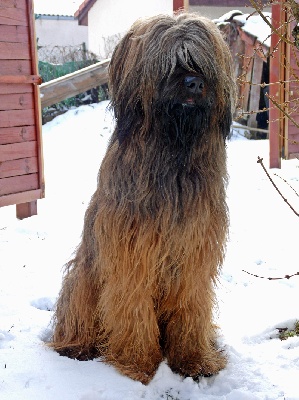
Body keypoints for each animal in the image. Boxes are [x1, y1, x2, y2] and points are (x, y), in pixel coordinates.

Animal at [52, 13, 239, 384]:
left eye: (202, 62)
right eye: (171, 62)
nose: (194, 84)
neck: (172, 151)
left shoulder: (195, 254)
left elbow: (190, 304)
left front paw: (194, 359)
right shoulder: (131, 252)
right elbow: (132, 304)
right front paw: (137, 363)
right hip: (83, 277)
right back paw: (76, 346)